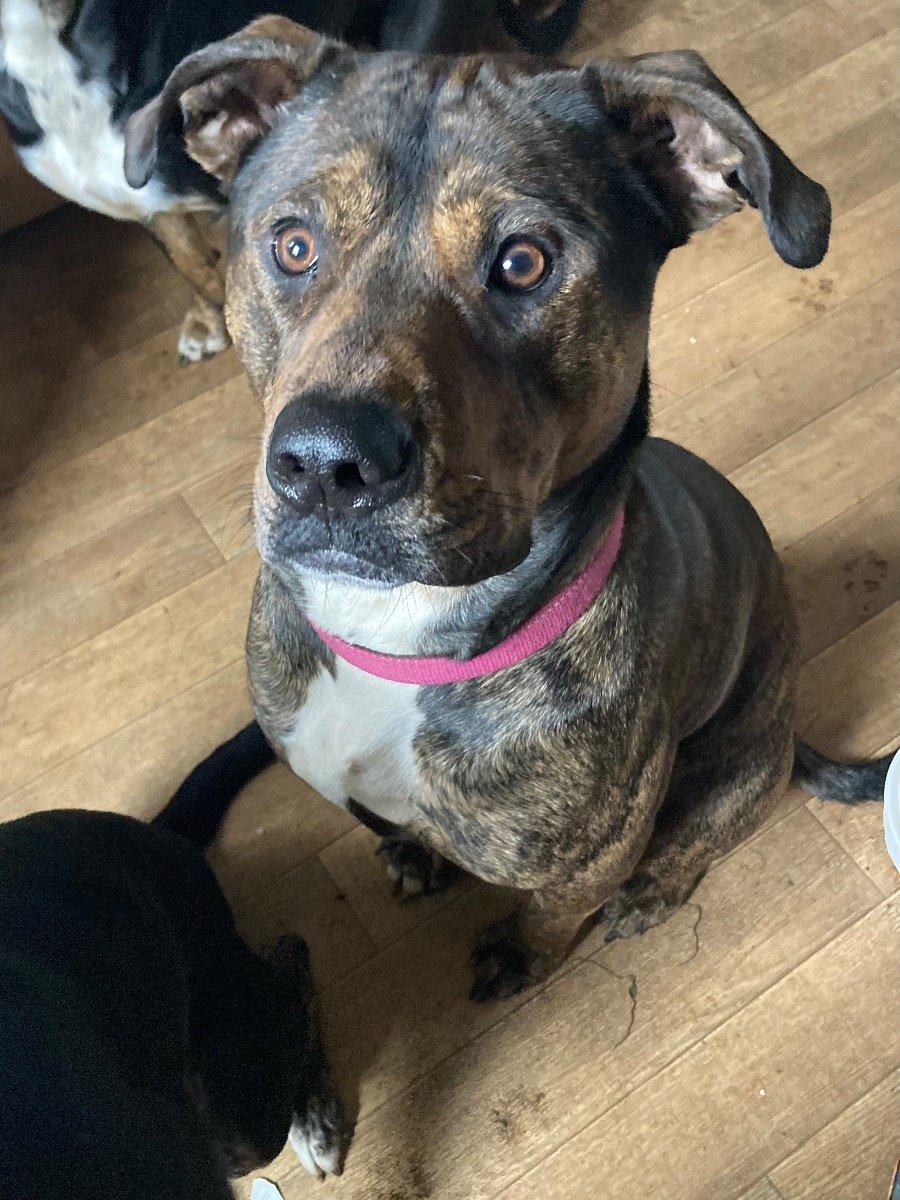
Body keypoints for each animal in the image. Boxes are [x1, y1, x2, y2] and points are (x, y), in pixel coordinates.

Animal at [124, 23, 891, 1002]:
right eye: (293, 245)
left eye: (523, 263)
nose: (328, 463)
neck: (398, 642)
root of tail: (791, 729)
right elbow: (395, 824)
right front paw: (412, 855)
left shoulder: (585, 857)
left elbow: (553, 916)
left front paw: (522, 955)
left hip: (740, 767)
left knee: (701, 836)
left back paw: (656, 890)